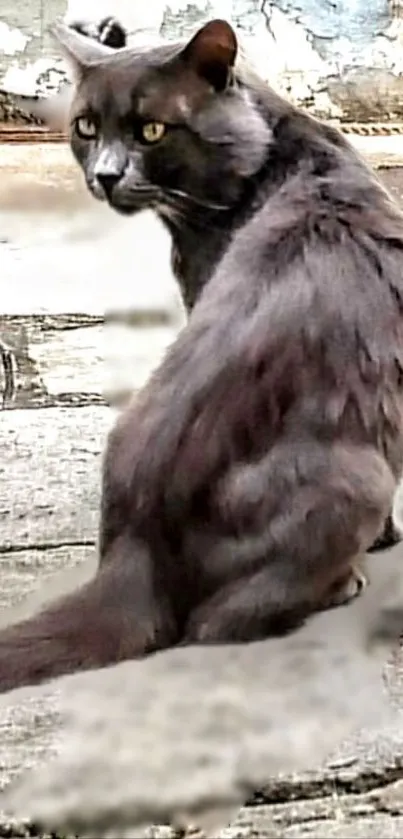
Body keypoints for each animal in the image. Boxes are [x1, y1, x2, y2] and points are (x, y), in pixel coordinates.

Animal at [0, 19, 403, 692]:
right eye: (86, 127)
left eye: (152, 130)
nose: (105, 175)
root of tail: (135, 550)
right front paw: (388, 542)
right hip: (361, 473)